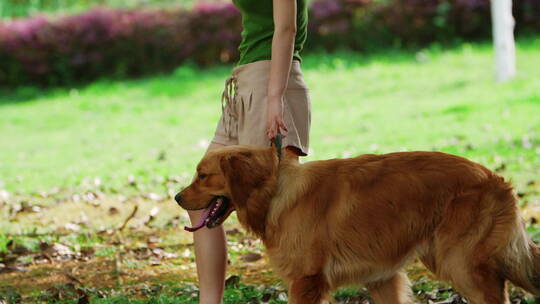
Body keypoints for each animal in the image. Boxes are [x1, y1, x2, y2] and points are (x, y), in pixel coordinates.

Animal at [175, 146, 536, 302]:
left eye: (202, 175)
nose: (177, 197)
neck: (277, 190)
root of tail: (495, 179)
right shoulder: (382, 277)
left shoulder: (306, 281)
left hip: (461, 265)